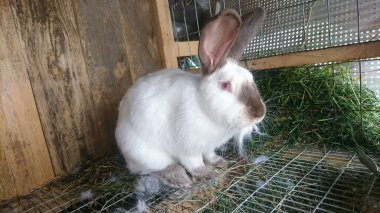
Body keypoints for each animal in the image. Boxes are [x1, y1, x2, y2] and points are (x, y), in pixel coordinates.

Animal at [114, 7, 266, 188]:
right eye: (225, 85)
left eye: (251, 78)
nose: (260, 113)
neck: (203, 108)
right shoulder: (187, 147)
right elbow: (194, 163)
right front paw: (207, 173)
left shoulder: (207, 146)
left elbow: (209, 154)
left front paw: (219, 162)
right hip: (145, 153)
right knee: (153, 169)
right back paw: (179, 178)